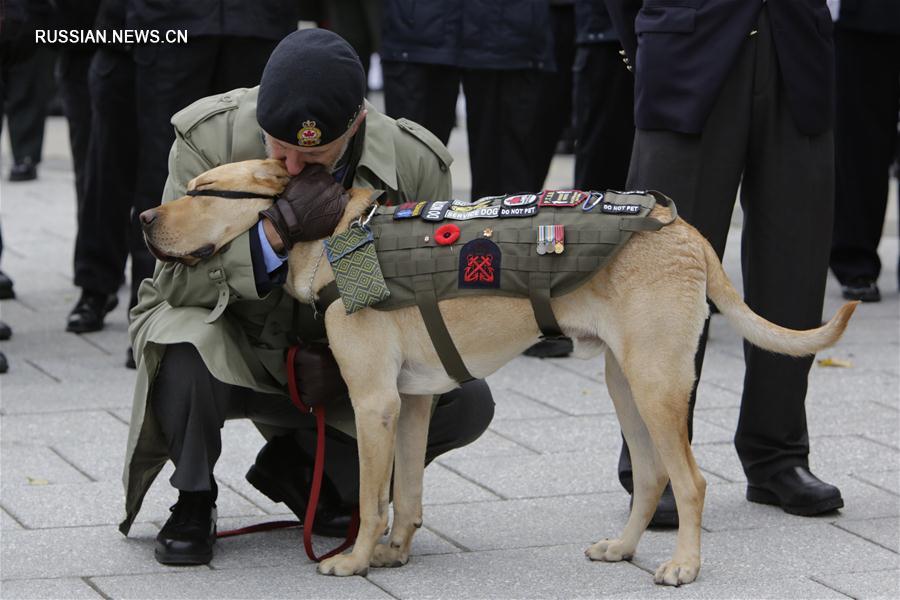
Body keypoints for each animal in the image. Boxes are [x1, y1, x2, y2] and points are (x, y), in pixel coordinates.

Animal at [141, 161, 856, 584]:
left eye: (202, 192)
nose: (142, 217)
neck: (335, 235)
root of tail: (682, 229)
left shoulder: (375, 402)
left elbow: (373, 499)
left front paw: (356, 559)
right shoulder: (411, 401)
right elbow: (407, 495)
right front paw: (395, 553)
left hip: (656, 384)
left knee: (691, 480)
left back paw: (683, 565)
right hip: (624, 383)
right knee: (653, 476)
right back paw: (624, 549)